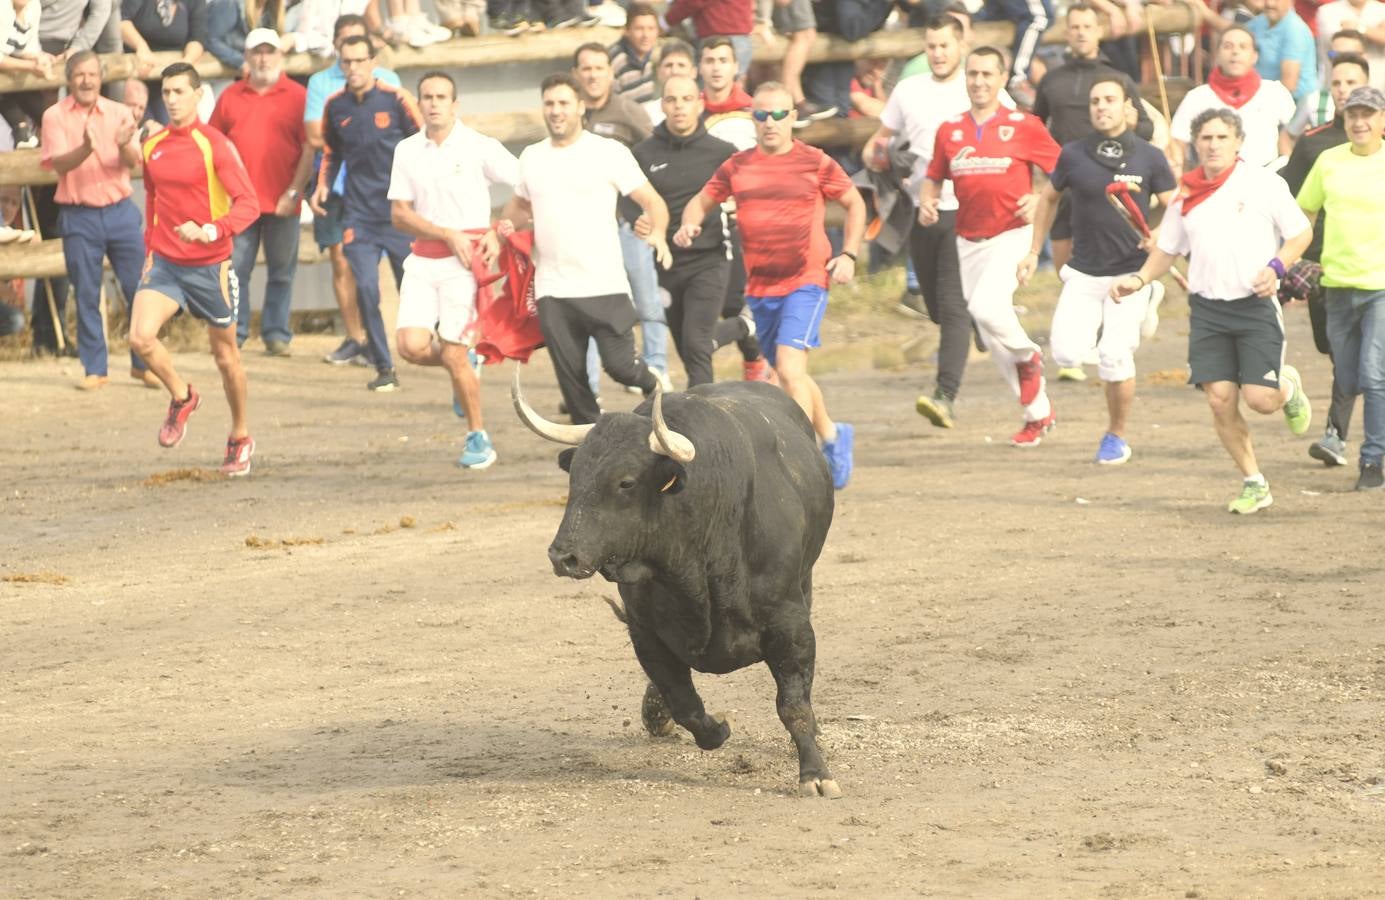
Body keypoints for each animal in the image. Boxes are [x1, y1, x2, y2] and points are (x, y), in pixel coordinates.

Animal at [515, 371, 836, 797]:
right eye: (575, 476)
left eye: (625, 482)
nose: (562, 556)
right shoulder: (645, 632)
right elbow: (684, 702)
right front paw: (715, 728)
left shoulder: (791, 624)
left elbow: (794, 705)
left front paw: (815, 773)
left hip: (806, 582)